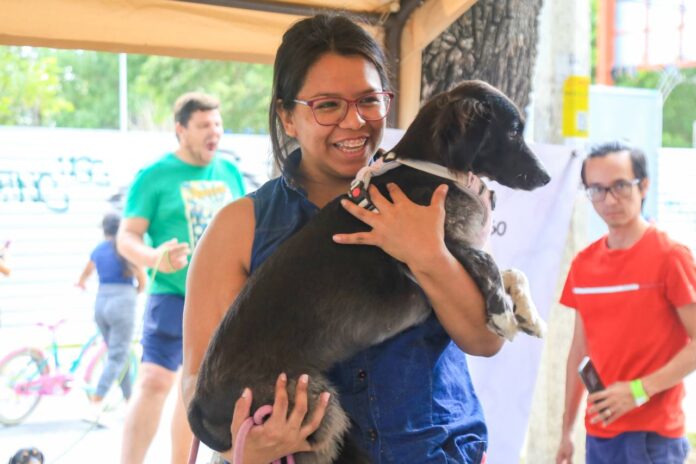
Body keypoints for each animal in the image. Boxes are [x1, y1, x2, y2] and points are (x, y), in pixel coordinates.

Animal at [188, 80, 552, 460]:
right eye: (513, 131)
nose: (546, 177)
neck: (431, 167)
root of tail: (198, 405)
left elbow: (514, 272)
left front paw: (529, 315)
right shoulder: (434, 249)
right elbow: (489, 263)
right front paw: (502, 316)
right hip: (314, 409)